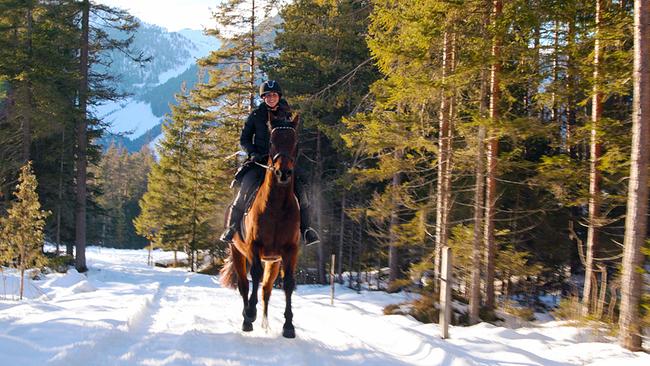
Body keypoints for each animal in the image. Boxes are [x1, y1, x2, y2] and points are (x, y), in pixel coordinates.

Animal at [218, 113, 298, 338]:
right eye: (272, 142)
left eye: (295, 141)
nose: (283, 173)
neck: (277, 206)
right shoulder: (254, 247)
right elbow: (254, 275)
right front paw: (250, 313)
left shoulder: (290, 251)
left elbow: (288, 283)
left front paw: (289, 325)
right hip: (237, 252)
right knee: (244, 285)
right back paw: (248, 318)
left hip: (273, 261)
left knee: (266, 290)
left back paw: (264, 321)